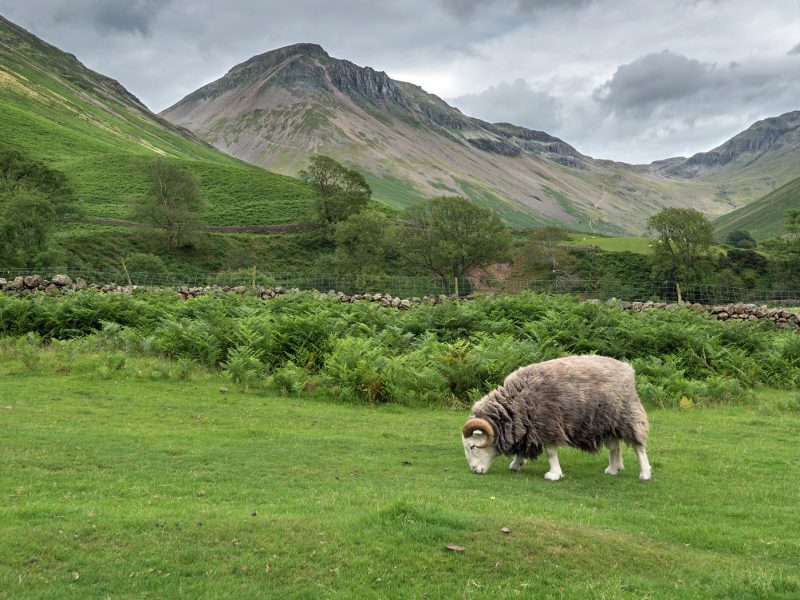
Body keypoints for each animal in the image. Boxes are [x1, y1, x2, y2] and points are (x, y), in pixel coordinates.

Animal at [460, 356, 652, 482]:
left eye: (472, 446)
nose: (475, 471)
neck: (517, 401)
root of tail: (627, 368)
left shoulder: (548, 424)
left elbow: (551, 452)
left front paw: (553, 474)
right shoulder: (526, 426)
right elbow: (522, 447)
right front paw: (517, 464)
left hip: (628, 416)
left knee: (638, 446)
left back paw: (645, 473)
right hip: (607, 423)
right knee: (614, 447)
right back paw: (613, 469)